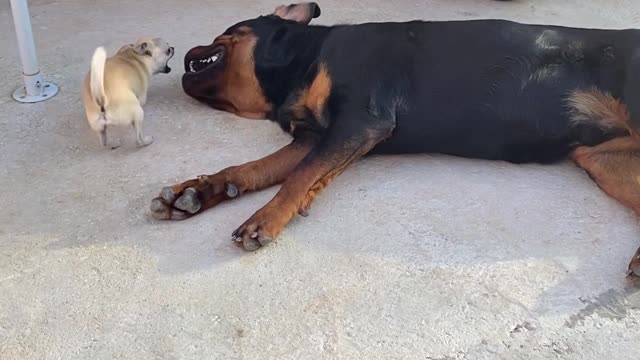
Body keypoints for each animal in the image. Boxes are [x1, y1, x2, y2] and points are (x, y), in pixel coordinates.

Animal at [151, 2, 640, 278]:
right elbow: (255, 169)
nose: (181, 49)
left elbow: (298, 179)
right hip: (606, 163)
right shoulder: (316, 136)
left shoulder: (360, 122)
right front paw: (200, 191)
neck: (303, 60)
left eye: (223, 31)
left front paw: (265, 218)